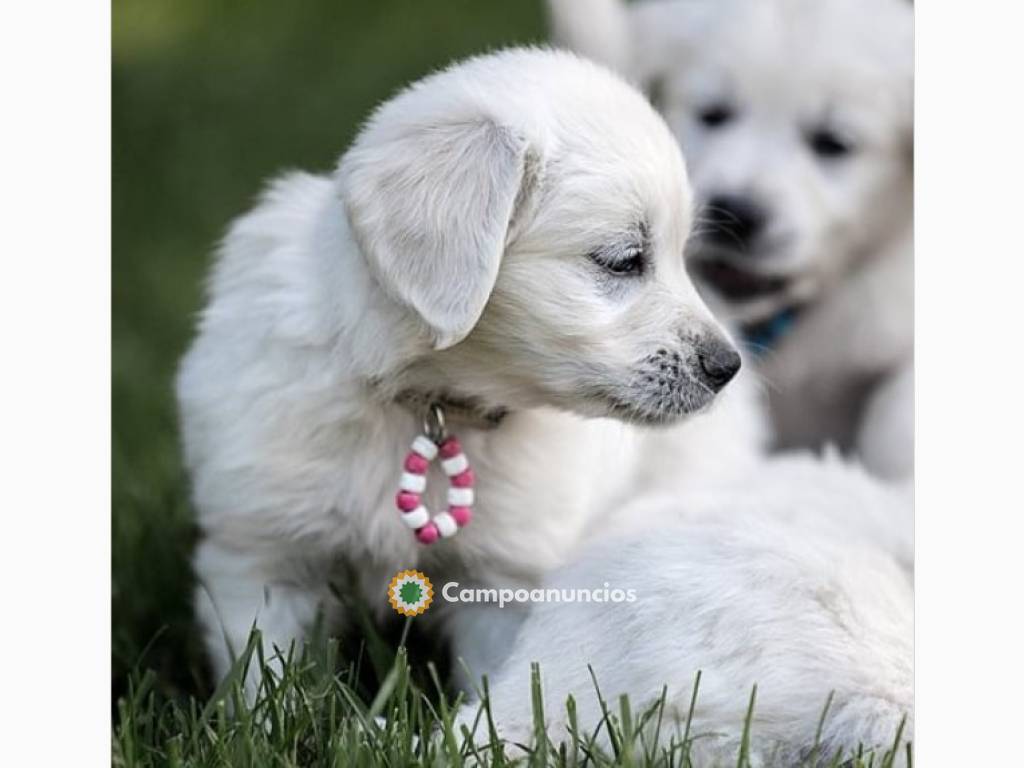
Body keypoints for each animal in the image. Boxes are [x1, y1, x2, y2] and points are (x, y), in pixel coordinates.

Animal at [178, 48, 770, 696]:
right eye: (622, 260)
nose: (727, 365)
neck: (427, 405)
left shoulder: (502, 582)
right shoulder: (261, 554)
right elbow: (262, 678)